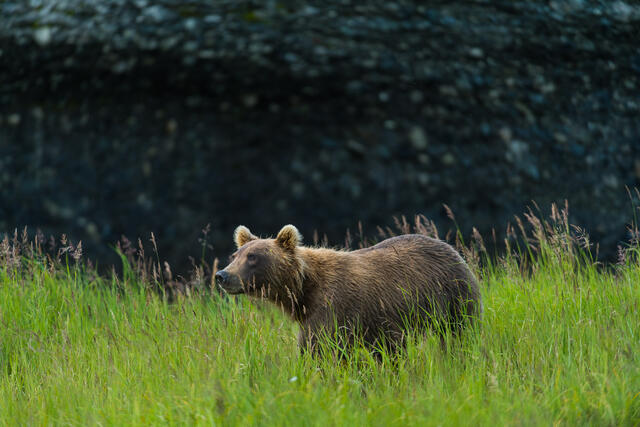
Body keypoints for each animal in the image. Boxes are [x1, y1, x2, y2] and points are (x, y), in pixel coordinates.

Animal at [215, 224, 482, 354]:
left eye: (253, 257)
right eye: (235, 255)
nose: (222, 275)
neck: (303, 290)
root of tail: (450, 247)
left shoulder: (340, 309)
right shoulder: (312, 319)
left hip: (453, 298)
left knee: (459, 334)